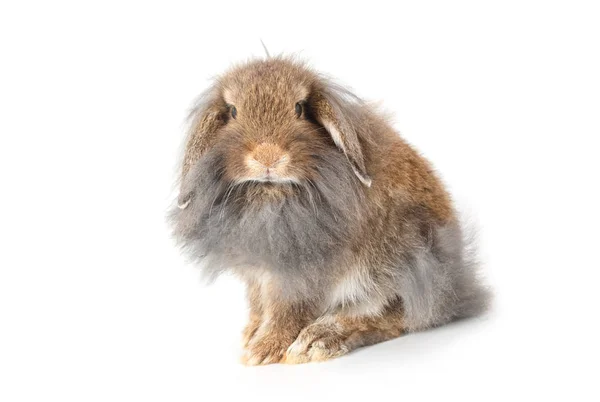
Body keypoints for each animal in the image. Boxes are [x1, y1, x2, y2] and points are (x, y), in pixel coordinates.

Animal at [169, 55, 492, 366]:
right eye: (234, 111)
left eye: (299, 108)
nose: (267, 156)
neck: (272, 194)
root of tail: (460, 279)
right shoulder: (258, 276)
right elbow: (260, 305)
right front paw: (252, 334)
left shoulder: (301, 277)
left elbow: (289, 310)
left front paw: (263, 350)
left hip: (407, 260)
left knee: (395, 316)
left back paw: (318, 341)